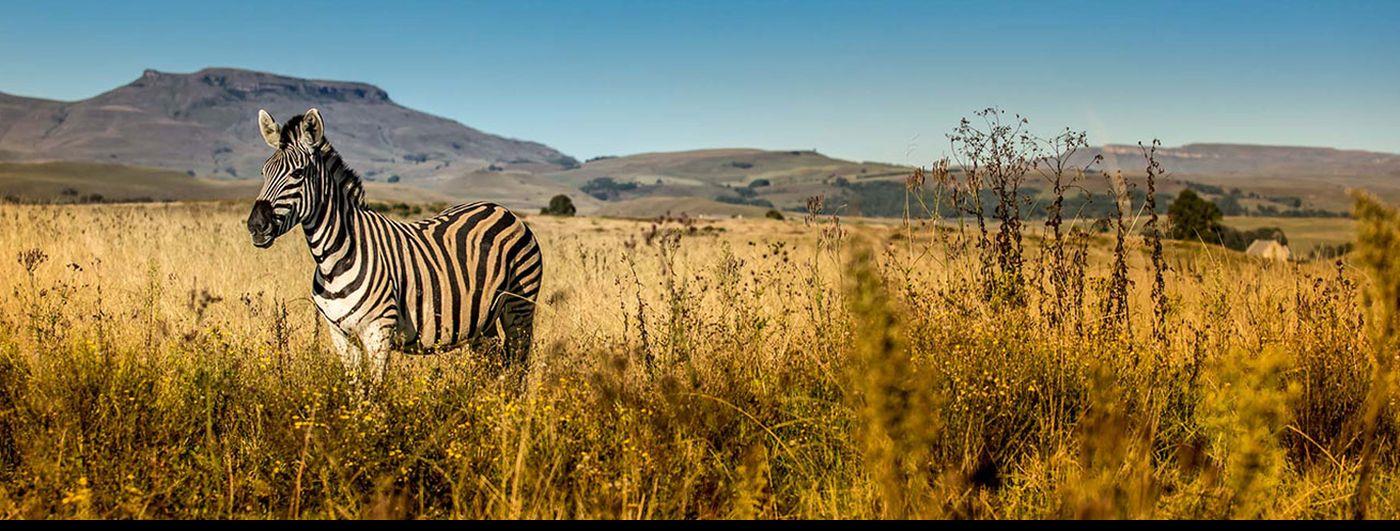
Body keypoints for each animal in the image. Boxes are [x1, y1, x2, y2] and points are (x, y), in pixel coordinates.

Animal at [246, 107, 540, 383]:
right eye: (263, 172)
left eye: (298, 173)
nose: (256, 225)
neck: (334, 257)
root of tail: (500, 208)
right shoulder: (340, 334)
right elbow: (357, 391)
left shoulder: (378, 331)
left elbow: (376, 393)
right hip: (482, 318)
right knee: (491, 361)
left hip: (519, 306)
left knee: (518, 366)